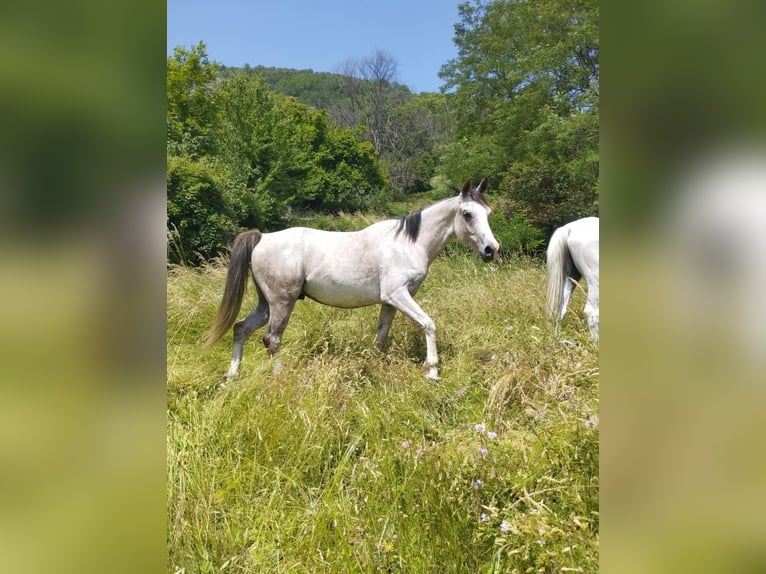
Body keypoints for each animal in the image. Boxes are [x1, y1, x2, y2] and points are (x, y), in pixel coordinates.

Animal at [205, 178, 500, 381]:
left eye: (488, 213)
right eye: (467, 214)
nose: (492, 250)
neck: (408, 243)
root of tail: (262, 238)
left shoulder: (390, 302)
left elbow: (381, 335)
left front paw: (373, 366)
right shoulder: (398, 295)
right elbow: (428, 324)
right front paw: (432, 372)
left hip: (266, 303)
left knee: (241, 328)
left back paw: (232, 376)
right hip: (281, 302)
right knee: (272, 339)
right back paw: (280, 377)